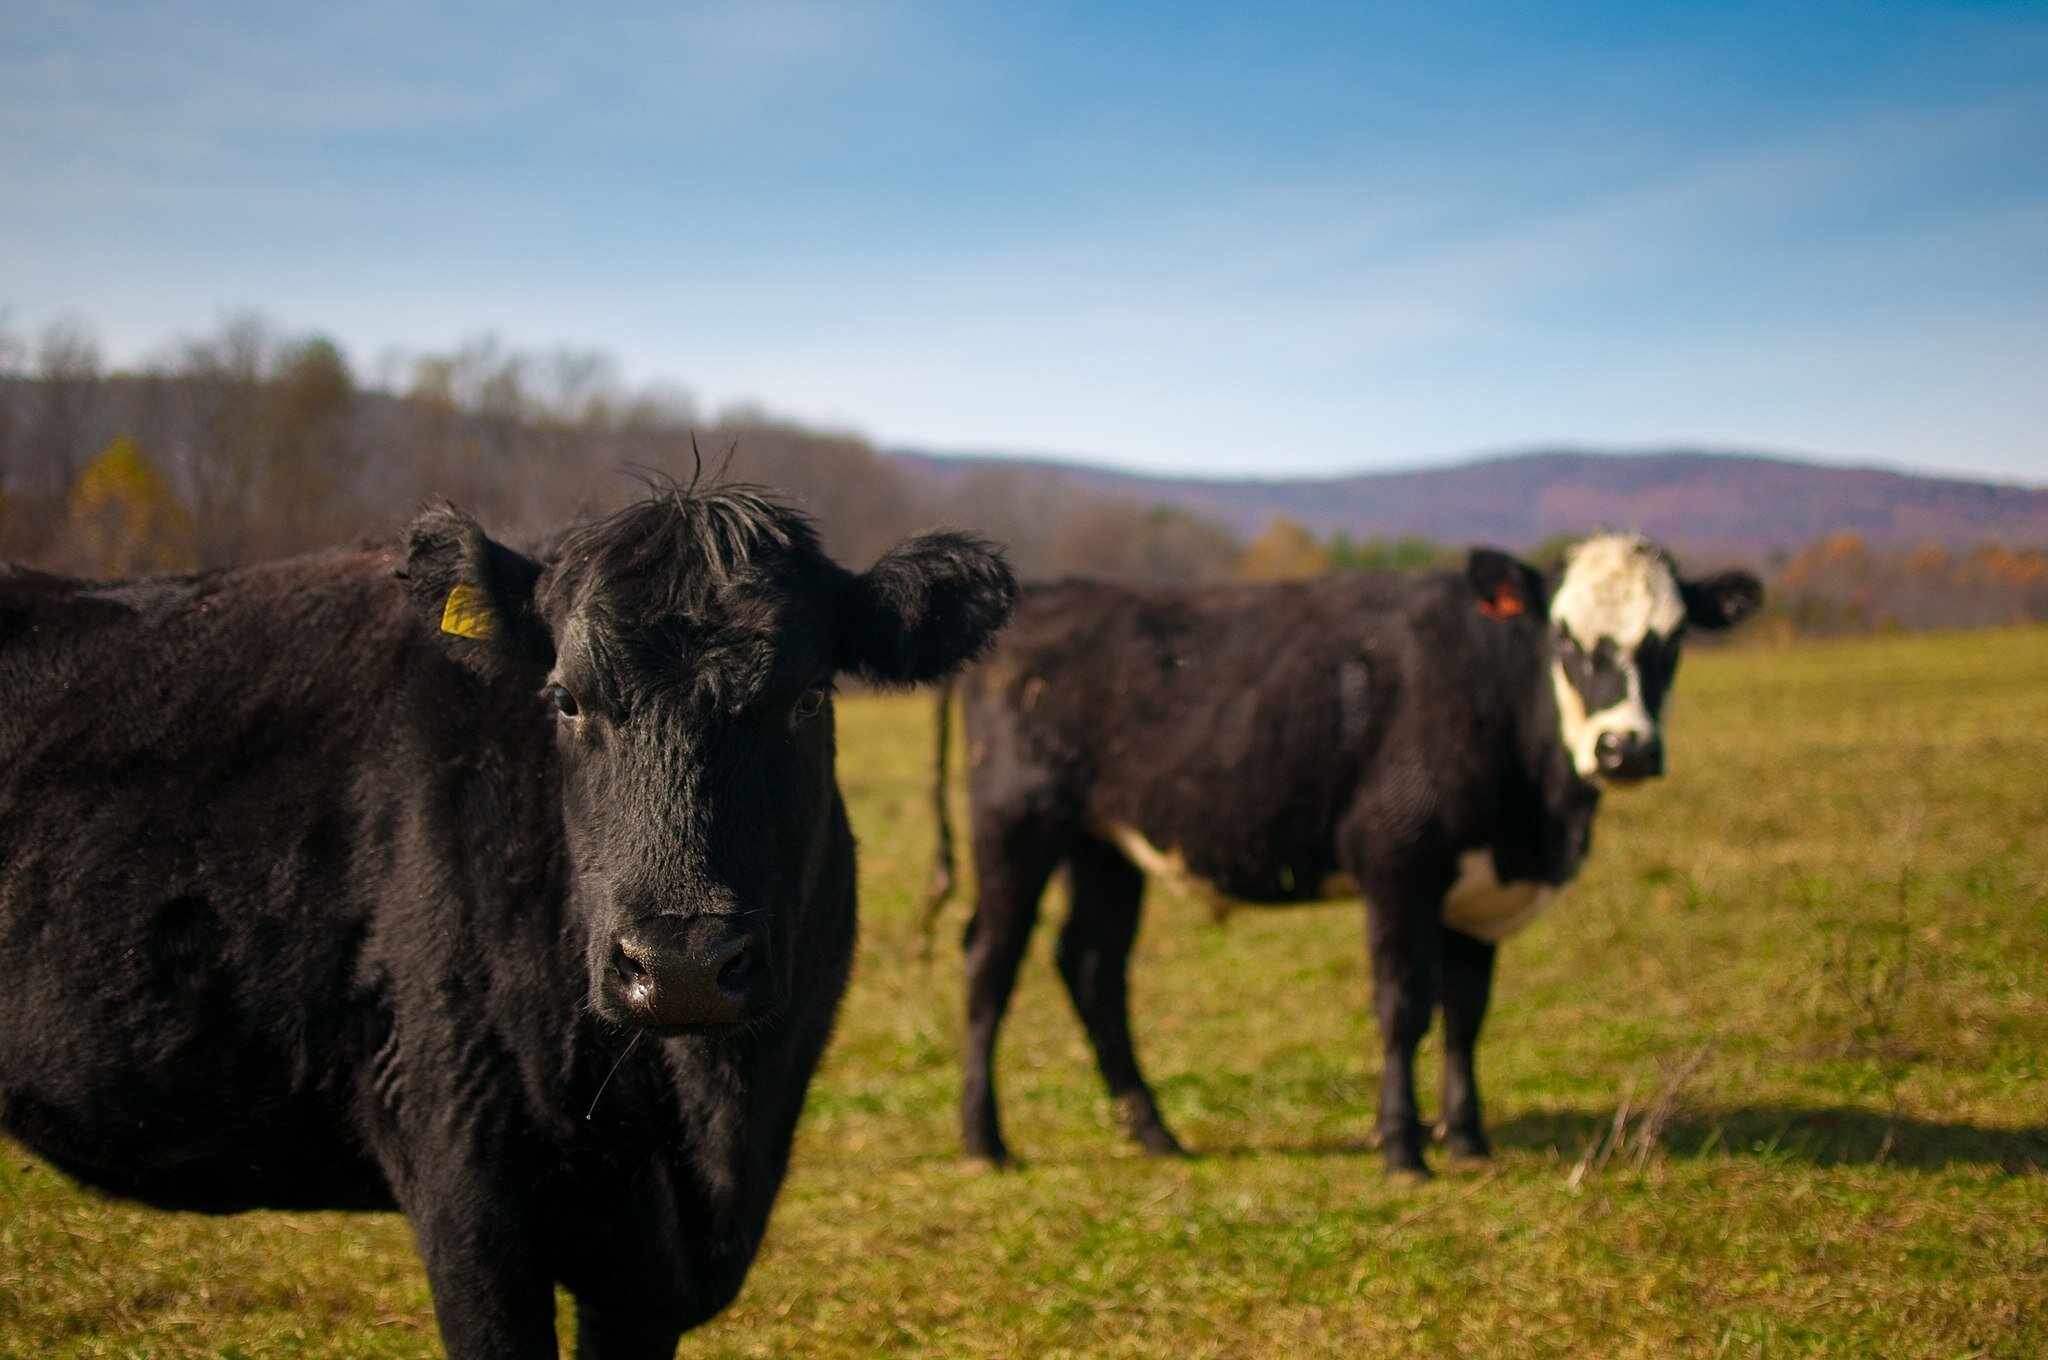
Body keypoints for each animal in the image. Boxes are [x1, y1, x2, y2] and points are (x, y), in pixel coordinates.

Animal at [0, 491, 1015, 1360]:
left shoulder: (653, 1271)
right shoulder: (466, 1184)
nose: (680, 964)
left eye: (807, 696)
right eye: (566, 698)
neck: (701, 1118)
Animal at [937, 532, 1753, 1179]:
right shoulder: (1397, 860)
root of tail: (1044, 595)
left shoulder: (1476, 891)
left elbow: (1467, 1014)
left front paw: (1470, 1142)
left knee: (1092, 967)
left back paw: (1154, 1132)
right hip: (1016, 826)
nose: (1625, 748)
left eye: (1672, 640)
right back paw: (985, 1141)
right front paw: (1403, 1150)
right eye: (1565, 639)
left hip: (1104, 844)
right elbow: (1404, 1006)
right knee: (989, 964)